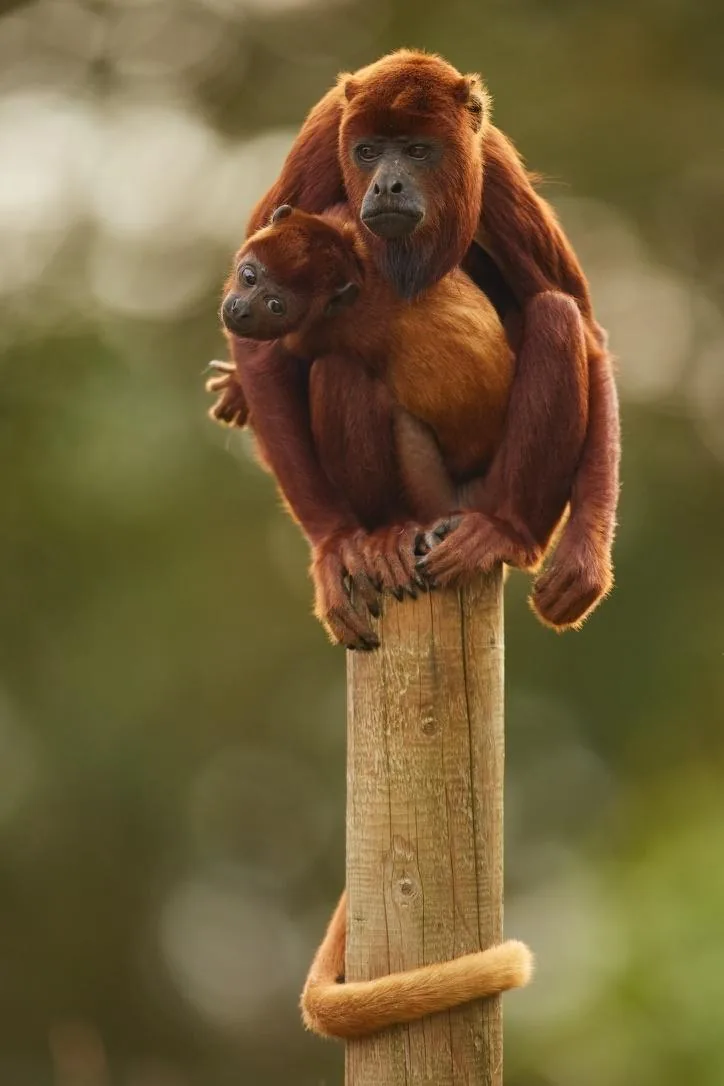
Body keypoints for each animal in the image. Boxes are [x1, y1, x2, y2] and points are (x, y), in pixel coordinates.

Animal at [210, 48, 619, 643]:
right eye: (367, 151)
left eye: (418, 151)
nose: (387, 186)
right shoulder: (320, 141)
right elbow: (266, 354)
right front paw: (335, 547)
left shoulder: (493, 166)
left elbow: (588, 331)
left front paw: (584, 561)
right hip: (426, 496)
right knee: (339, 369)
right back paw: (384, 537)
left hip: (491, 490)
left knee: (558, 316)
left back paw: (506, 531)